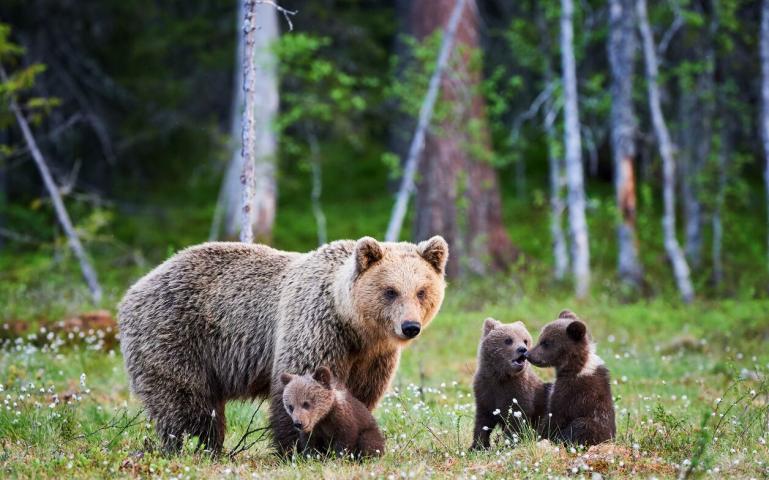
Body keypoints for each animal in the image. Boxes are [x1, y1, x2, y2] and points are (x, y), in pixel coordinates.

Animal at [117, 236, 448, 454]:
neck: (354, 325)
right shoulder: (316, 326)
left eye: (421, 291)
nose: (410, 326)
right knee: (186, 401)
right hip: (176, 335)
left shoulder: (373, 357)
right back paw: (197, 446)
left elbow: (359, 395)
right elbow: (299, 383)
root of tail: (134, 288)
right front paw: (301, 449)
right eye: (390, 291)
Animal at [470, 318, 551, 450]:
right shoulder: (485, 390)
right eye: (508, 340)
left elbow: (516, 420)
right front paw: (477, 446)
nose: (522, 349)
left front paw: (509, 443)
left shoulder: (519, 392)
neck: (501, 376)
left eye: (525, 340)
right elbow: (483, 420)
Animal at [525, 310, 616, 446]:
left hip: (590, 424)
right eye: (541, 338)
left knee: (580, 426)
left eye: (546, 342)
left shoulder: (572, 392)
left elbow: (556, 416)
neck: (576, 367)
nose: (528, 354)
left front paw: (538, 435)